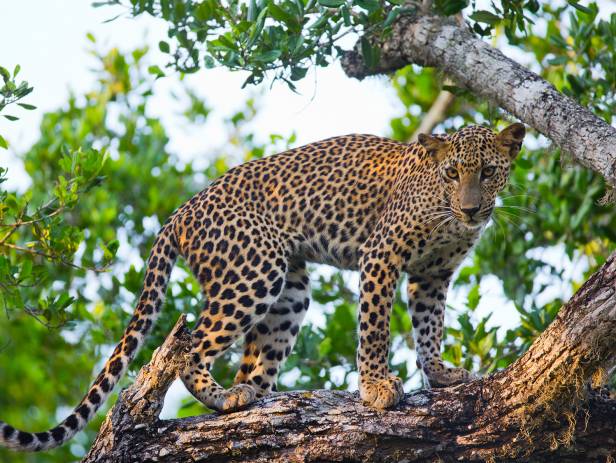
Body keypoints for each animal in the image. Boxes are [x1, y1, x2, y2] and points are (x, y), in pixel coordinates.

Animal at [0, 121, 524, 452]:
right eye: (452, 172)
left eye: (488, 172)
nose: (471, 208)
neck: (448, 217)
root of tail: (181, 211)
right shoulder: (382, 255)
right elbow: (375, 327)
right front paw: (376, 387)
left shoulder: (433, 275)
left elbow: (429, 327)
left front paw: (440, 374)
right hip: (255, 272)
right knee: (190, 346)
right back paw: (222, 397)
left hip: (289, 291)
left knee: (250, 363)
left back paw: (255, 401)